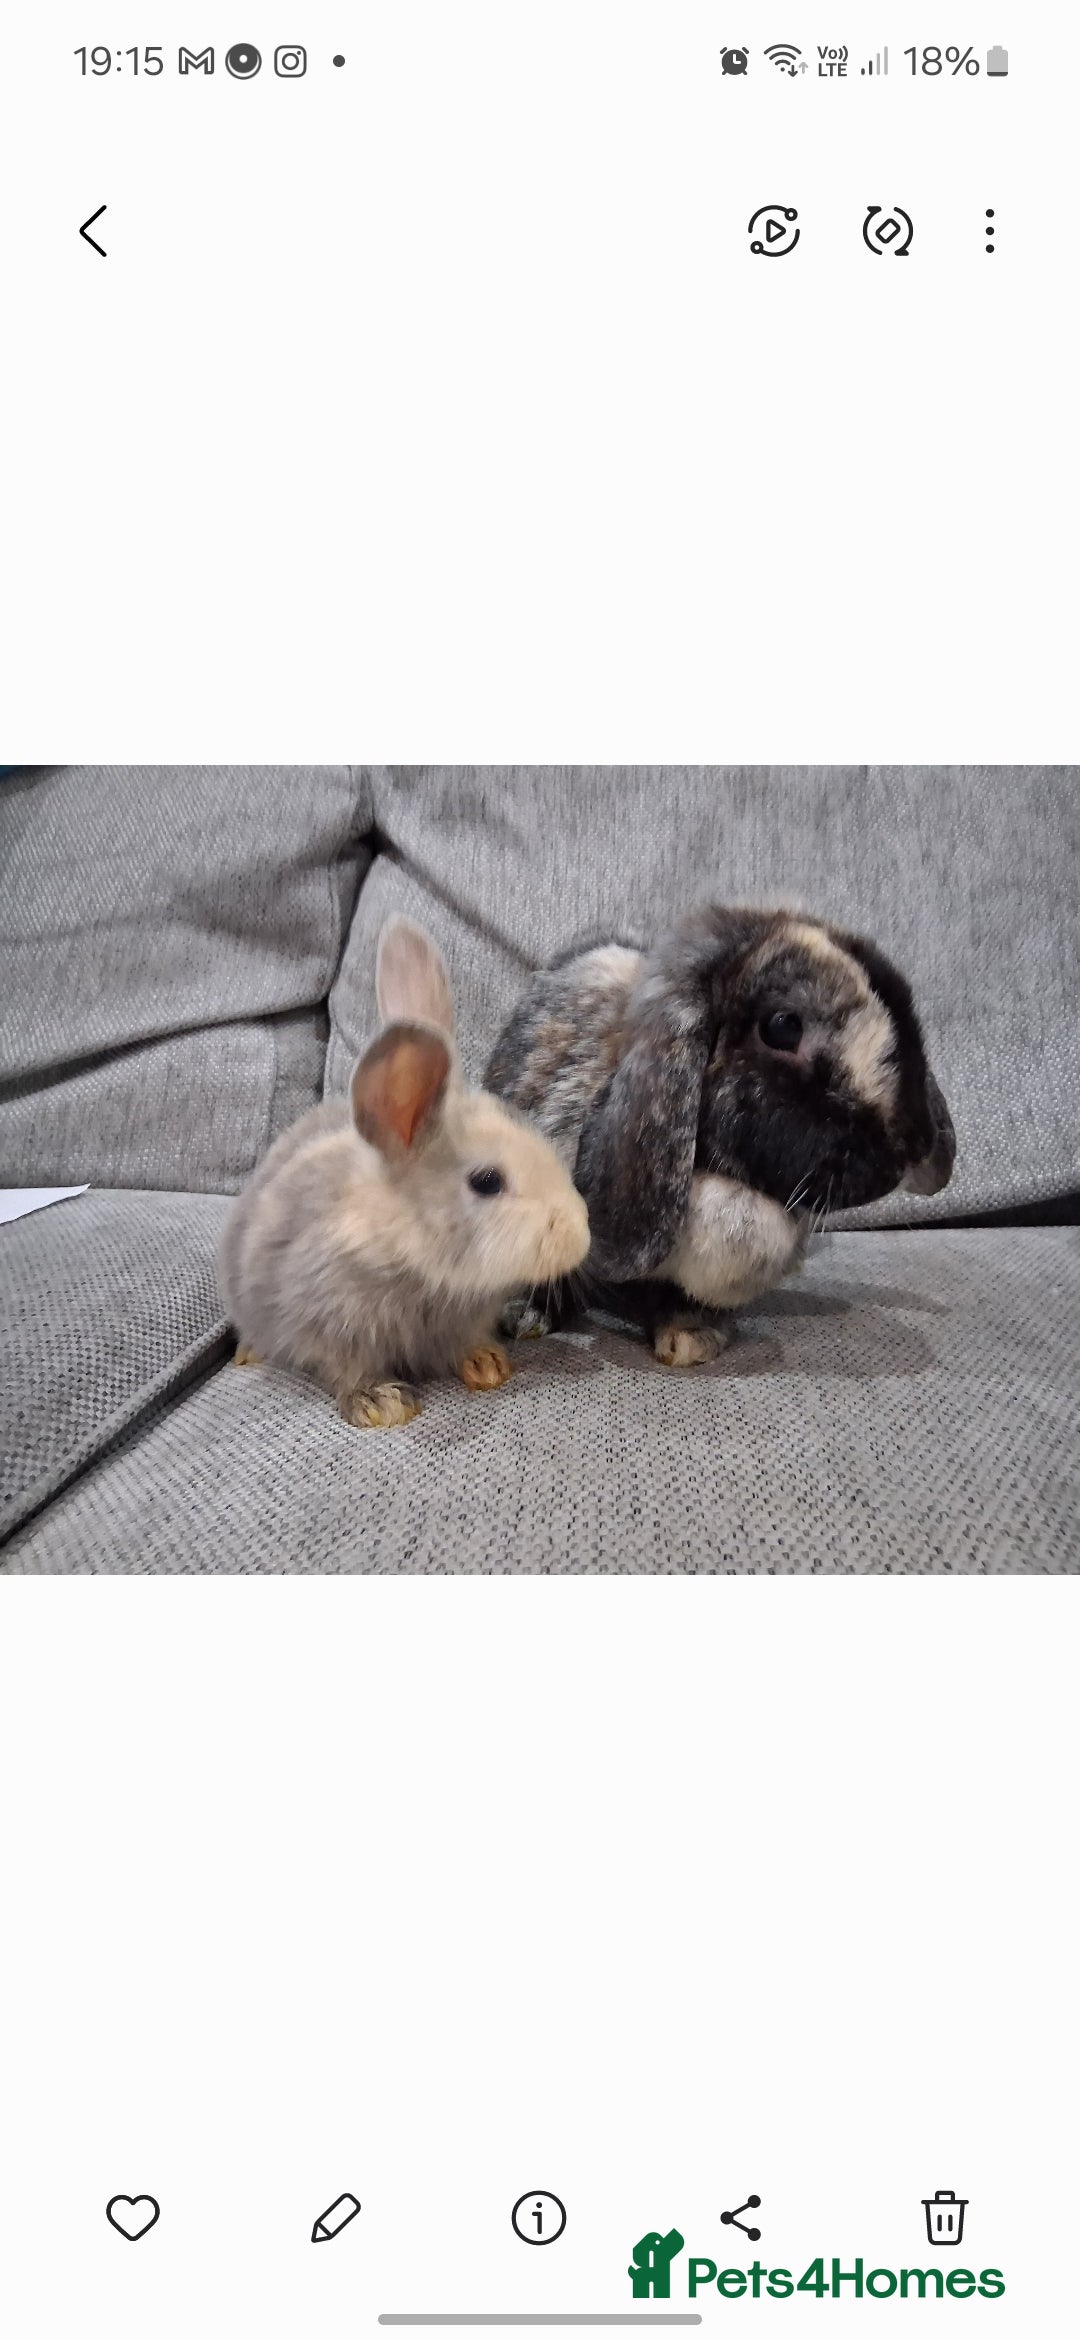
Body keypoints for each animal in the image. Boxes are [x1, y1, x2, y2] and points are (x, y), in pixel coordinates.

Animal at [217, 917, 590, 1426]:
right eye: (488, 1182)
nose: (582, 1235)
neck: (413, 1263)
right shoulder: (333, 1327)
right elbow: (350, 1370)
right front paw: (383, 1405)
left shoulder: (463, 1320)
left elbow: (465, 1343)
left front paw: (489, 1366)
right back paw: (250, 1353)